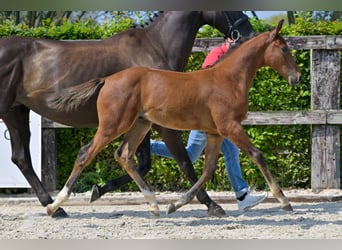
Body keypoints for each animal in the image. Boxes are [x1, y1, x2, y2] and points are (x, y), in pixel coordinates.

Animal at [0, 11, 251, 217]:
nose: (248, 32)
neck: (155, 47)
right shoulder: (161, 124)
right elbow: (184, 162)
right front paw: (211, 205)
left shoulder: (143, 121)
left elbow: (141, 162)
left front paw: (99, 190)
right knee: (23, 158)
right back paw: (55, 206)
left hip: (16, 113)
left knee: (21, 158)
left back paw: (55, 206)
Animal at [46, 20, 302, 218]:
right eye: (284, 49)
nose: (297, 77)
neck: (228, 79)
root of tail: (108, 79)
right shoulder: (230, 127)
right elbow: (258, 156)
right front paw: (284, 201)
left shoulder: (215, 132)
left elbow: (207, 170)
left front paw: (176, 205)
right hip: (113, 125)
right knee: (85, 154)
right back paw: (54, 205)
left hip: (141, 124)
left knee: (124, 155)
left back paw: (154, 205)